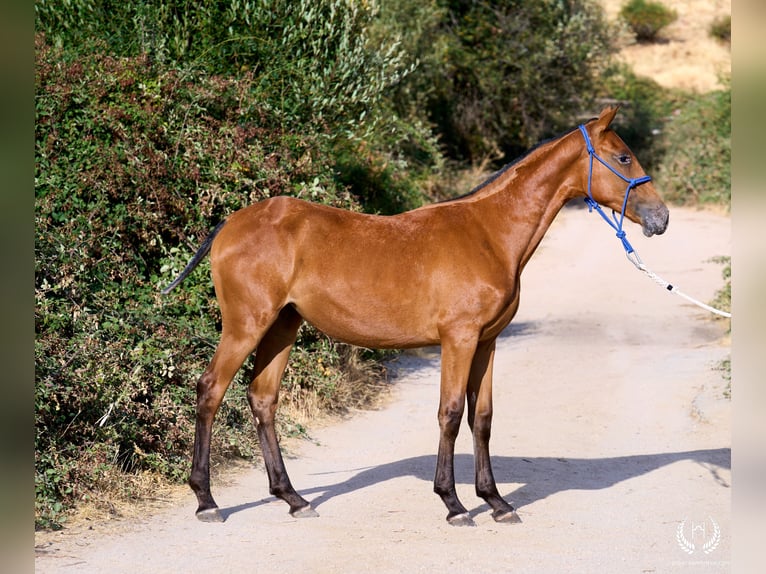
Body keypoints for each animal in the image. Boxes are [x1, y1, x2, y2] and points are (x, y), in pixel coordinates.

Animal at [162, 107, 669, 526]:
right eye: (623, 157)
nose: (661, 218)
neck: (489, 234)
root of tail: (229, 224)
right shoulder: (459, 339)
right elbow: (450, 412)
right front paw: (454, 504)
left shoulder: (487, 342)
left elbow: (482, 418)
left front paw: (496, 501)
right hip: (247, 325)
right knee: (210, 391)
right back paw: (207, 501)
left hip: (283, 326)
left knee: (262, 398)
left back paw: (294, 499)